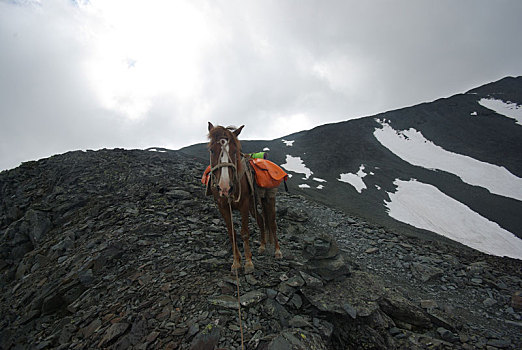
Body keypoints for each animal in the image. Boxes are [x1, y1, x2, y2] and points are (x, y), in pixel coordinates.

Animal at [206, 123, 280, 274]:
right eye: (211, 150)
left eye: (235, 151)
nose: (225, 187)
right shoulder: (223, 207)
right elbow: (231, 233)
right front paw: (236, 262)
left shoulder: (244, 204)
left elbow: (245, 232)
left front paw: (249, 263)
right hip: (253, 205)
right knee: (261, 220)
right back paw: (262, 246)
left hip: (269, 199)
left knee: (272, 223)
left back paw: (277, 251)